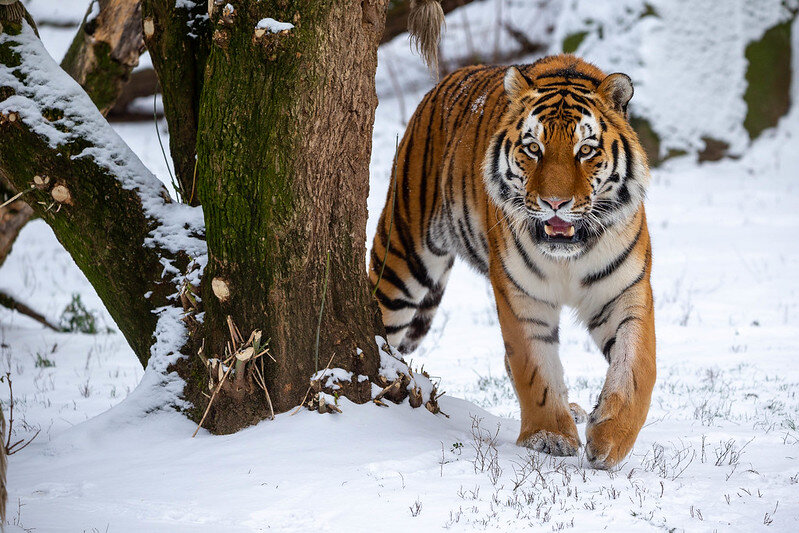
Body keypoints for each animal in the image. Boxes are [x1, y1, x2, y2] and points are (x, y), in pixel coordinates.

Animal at [368, 55, 656, 470]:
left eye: (585, 150)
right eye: (533, 148)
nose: (555, 203)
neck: (568, 254)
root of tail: (447, 80)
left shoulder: (625, 292)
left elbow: (638, 367)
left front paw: (610, 438)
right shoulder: (520, 295)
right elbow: (532, 367)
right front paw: (548, 437)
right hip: (402, 256)